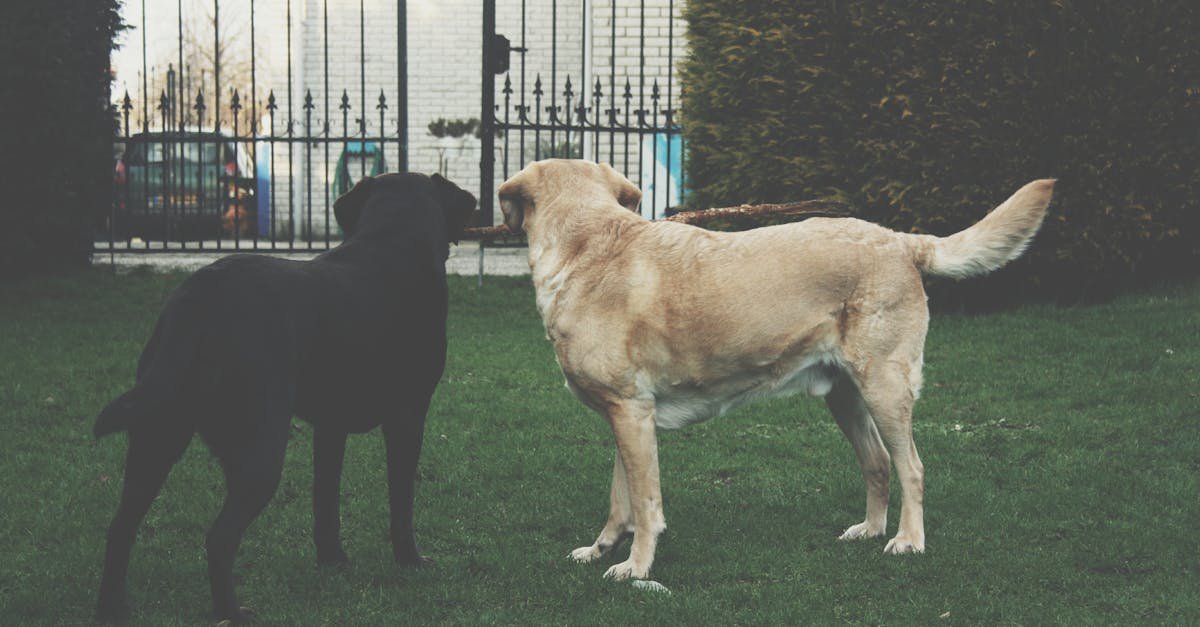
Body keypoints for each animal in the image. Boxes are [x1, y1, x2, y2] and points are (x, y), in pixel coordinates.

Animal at [94, 170, 477, 619]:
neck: (393, 237)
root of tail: (198, 298)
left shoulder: (330, 425)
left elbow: (325, 497)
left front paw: (332, 561)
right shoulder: (408, 416)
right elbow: (402, 499)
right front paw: (411, 561)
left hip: (156, 433)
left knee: (120, 527)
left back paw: (111, 609)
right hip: (259, 447)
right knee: (219, 537)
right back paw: (232, 613)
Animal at [494, 158, 1051, 578]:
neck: (587, 246)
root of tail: (899, 239)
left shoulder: (631, 413)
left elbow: (646, 505)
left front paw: (636, 567)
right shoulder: (626, 417)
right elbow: (620, 500)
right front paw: (601, 549)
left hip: (886, 388)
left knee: (911, 466)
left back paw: (907, 541)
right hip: (845, 396)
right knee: (877, 463)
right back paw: (868, 531)